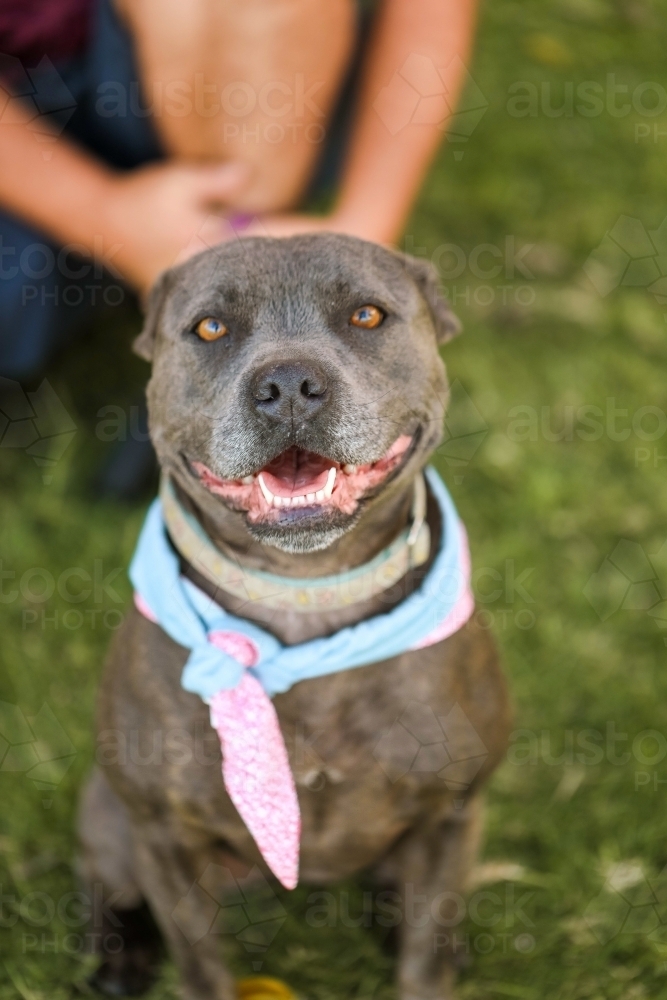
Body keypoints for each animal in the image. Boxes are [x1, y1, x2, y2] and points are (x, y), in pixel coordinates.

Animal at [77, 236, 512, 1000]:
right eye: (210, 328)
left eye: (367, 315)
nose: (286, 386)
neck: (301, 593)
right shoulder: (163, 836)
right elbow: (201, 967)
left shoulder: (452, 814)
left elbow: (425, 958)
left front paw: (430, 952)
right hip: (109, 813)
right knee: (104, 879)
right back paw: (119, 952)